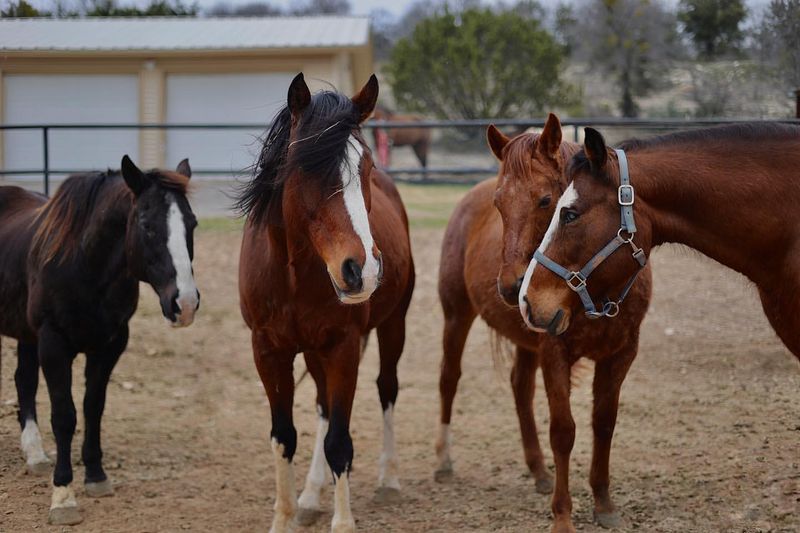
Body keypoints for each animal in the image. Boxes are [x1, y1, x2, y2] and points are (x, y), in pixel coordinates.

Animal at [0, 156, 199, 524]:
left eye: (191, 223)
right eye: (147, 225)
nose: (186, 304)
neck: (83, 266)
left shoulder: (110, 344)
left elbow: (94, 407)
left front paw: (95, 475)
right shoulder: (53, 344)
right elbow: (65, 416)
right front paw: (63, 495)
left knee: (24, 381)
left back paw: (35, 454)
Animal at [236, 71, 412, 532]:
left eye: (366, 166)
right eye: (306, 167)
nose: (362, 269)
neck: (294, 275)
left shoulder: (343, 347)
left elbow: (339, 442)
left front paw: (343, 521)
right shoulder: (268, 351)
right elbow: (284, 437)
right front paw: (286, 516)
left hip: (393, 326)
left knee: (387, 389)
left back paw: (390, 479)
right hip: (313, 352)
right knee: (320, 407)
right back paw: (312, 494)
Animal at [440, 112, 652, 532]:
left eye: (546, 200)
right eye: (499, 204)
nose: (512, 287)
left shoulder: (622, 353)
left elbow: (604, 422)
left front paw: (603, 502)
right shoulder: (555, 352)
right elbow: (564, 431)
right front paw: (563, 515)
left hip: (526, 341)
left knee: (520, 388)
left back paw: (538, 469)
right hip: (456, 316)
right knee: (449, 378)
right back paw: (444, 461)